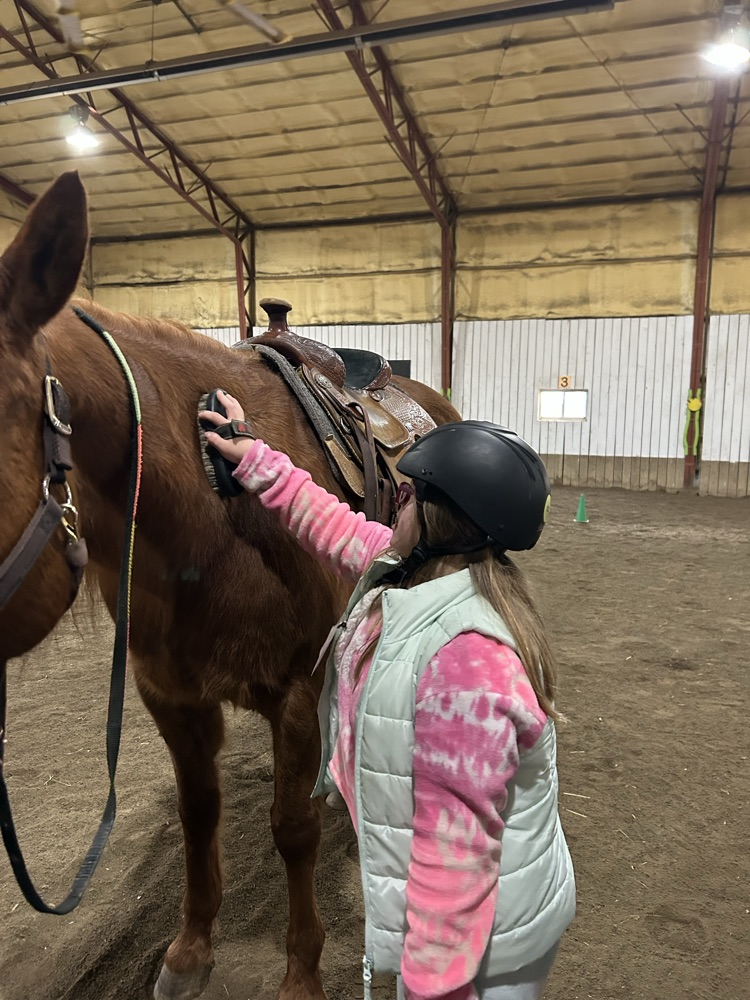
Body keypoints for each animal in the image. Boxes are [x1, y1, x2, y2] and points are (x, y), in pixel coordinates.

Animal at [0, 172, 460, 1000]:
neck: (210, 518)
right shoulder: (170, 695)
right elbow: (199, 811)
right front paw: (190, 950)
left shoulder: (297, 691)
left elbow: (292, 828)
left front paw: (301, 973)